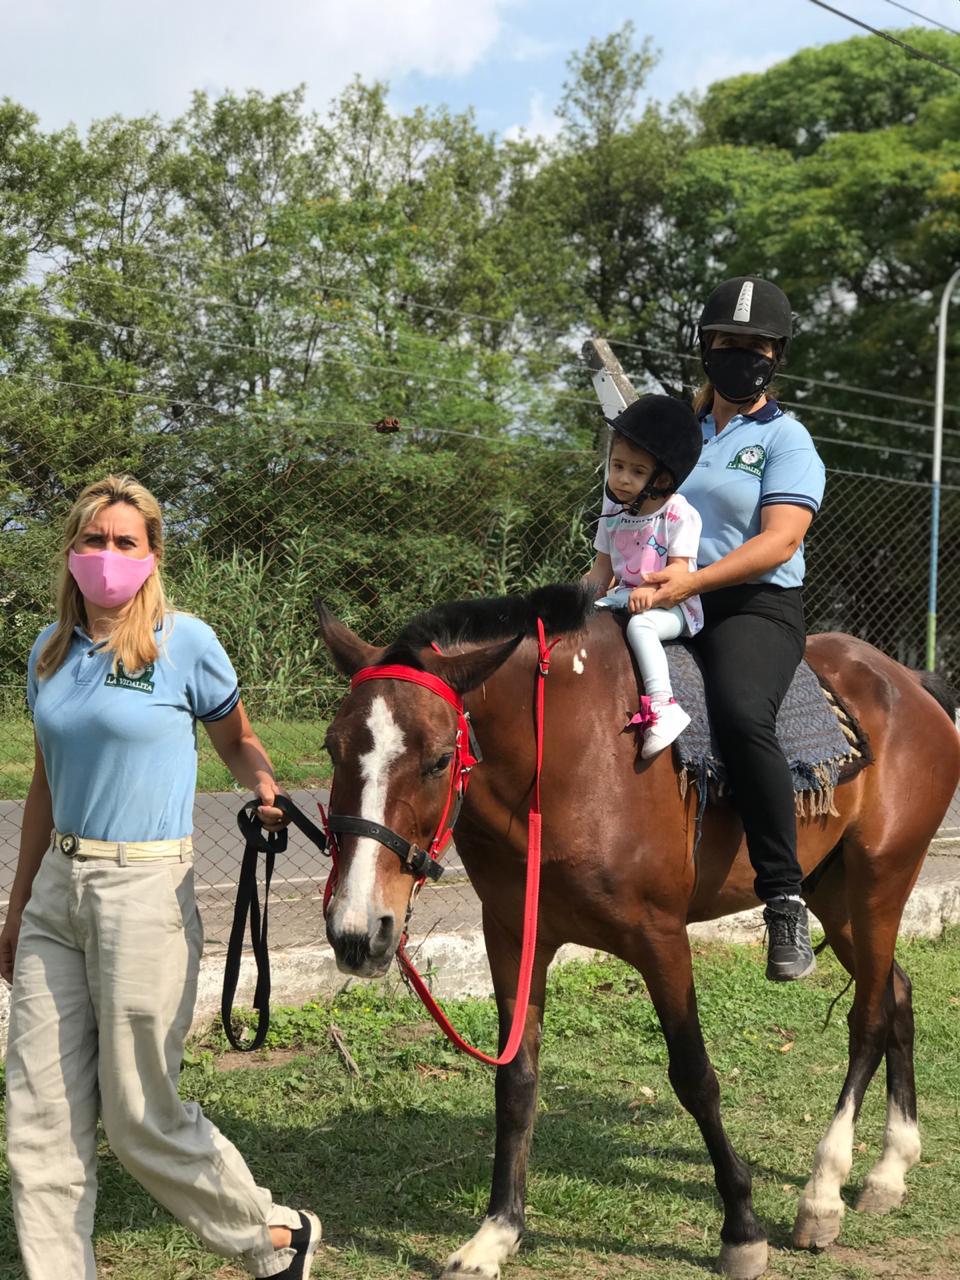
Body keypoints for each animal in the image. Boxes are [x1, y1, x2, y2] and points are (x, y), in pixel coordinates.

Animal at [317, 586, 960, 1280]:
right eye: (332, 749)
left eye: (439, 759)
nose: (357, 932)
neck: (569, 761)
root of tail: (910, 683)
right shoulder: (512, 935)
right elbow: (516, 1081)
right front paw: (496, 1233)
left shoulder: (661, 939)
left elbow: (694, 1076)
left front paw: (742, 1228)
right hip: (834, 895)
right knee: (897, 995)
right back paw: (890, 1169)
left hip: (879, 884)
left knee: (868, 1018)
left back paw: (823, 1194)